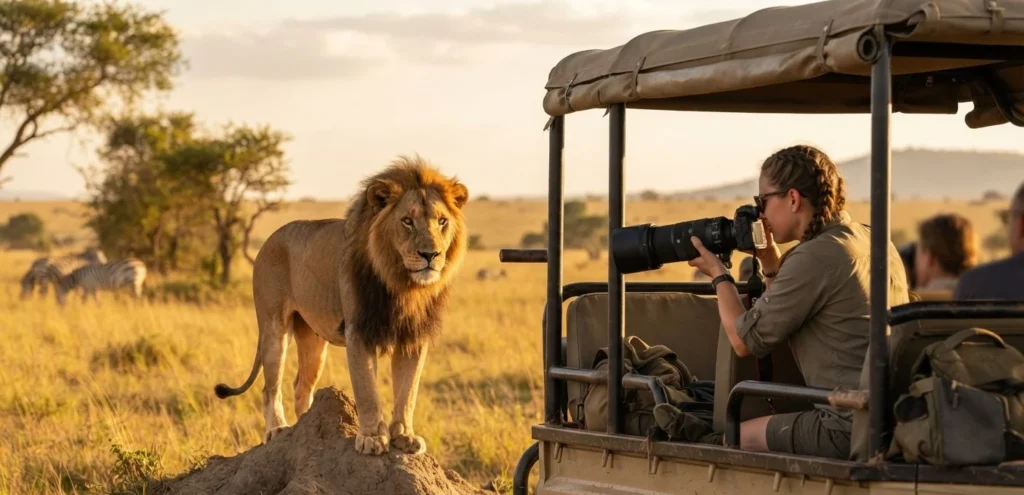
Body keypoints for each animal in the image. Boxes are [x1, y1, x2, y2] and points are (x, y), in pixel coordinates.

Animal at [213, 156, 469, 456]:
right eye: (407, 221)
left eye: (442, 221)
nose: (431, 255)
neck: (403, 285)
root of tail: (270, 239)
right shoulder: (358, 331)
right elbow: (367, 390)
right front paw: (372, 437)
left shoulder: (413, 336)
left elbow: (408, 391)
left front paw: (405, 436)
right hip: (273, 327)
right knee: (270, 386)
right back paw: (277, 430)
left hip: (312, 339)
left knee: (301, 385)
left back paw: (307, 427)